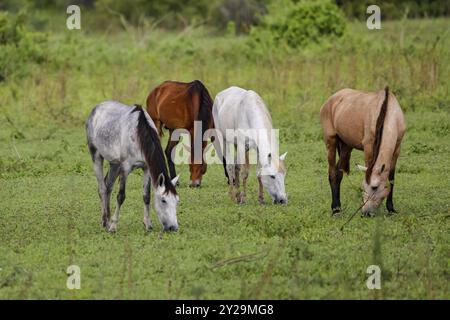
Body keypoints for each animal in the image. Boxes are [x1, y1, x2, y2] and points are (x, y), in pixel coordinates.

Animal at [85, 100, 179, 232]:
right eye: (163, 200)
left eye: (177, 201)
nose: (173, 227)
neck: (138, 134)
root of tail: (96, 109)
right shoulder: (125, 168)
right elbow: (121, 196)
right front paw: (113, 226)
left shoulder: (146, 168)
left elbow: (146, 196)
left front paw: (147, 224)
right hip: (97, 156)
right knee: (102, 189)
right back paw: (105, 222)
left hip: (114, 164)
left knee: (108, 186)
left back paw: (107, 220)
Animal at [320, 87, 408, 216]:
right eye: (362, 187)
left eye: (375, 187)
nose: (365, 212)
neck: (388, 112)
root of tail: (331, 99)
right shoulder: (368, 148)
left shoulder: (397, 149)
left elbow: (391, 179)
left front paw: (391, 208)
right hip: (330, 141)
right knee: (332, 173)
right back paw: (335, 209)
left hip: (346, 147)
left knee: (338, 173)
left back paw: (338, 207)